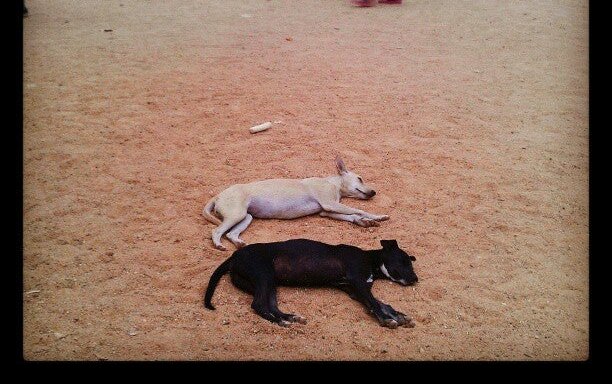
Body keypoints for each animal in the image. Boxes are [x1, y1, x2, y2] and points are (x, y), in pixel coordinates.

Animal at [203, 157, 390, 250]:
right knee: (217, 231)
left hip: (246, 217)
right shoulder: (330, 204)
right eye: (360, 178)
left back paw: (238, 243)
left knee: (230, 234)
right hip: (237, 215)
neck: (333, 183)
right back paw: (218, 245)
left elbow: (352, 215)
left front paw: (365, 222)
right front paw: (377, 216)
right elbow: (359, 210)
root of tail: (218, 195)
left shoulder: (327, 211)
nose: (374, 192)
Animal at [203, 238, 418, 328]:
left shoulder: (355, 289)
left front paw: (397, 315)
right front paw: (387, 320)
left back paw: (290, 318)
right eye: (403, 261)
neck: (371, 260)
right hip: (263, 276)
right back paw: (281, 322)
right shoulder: (358, 282)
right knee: (258, 305)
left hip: (268, 283)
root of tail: (234, 256)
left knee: (270, 306)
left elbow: (381, 304)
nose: (416, 280)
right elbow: (375, 304)